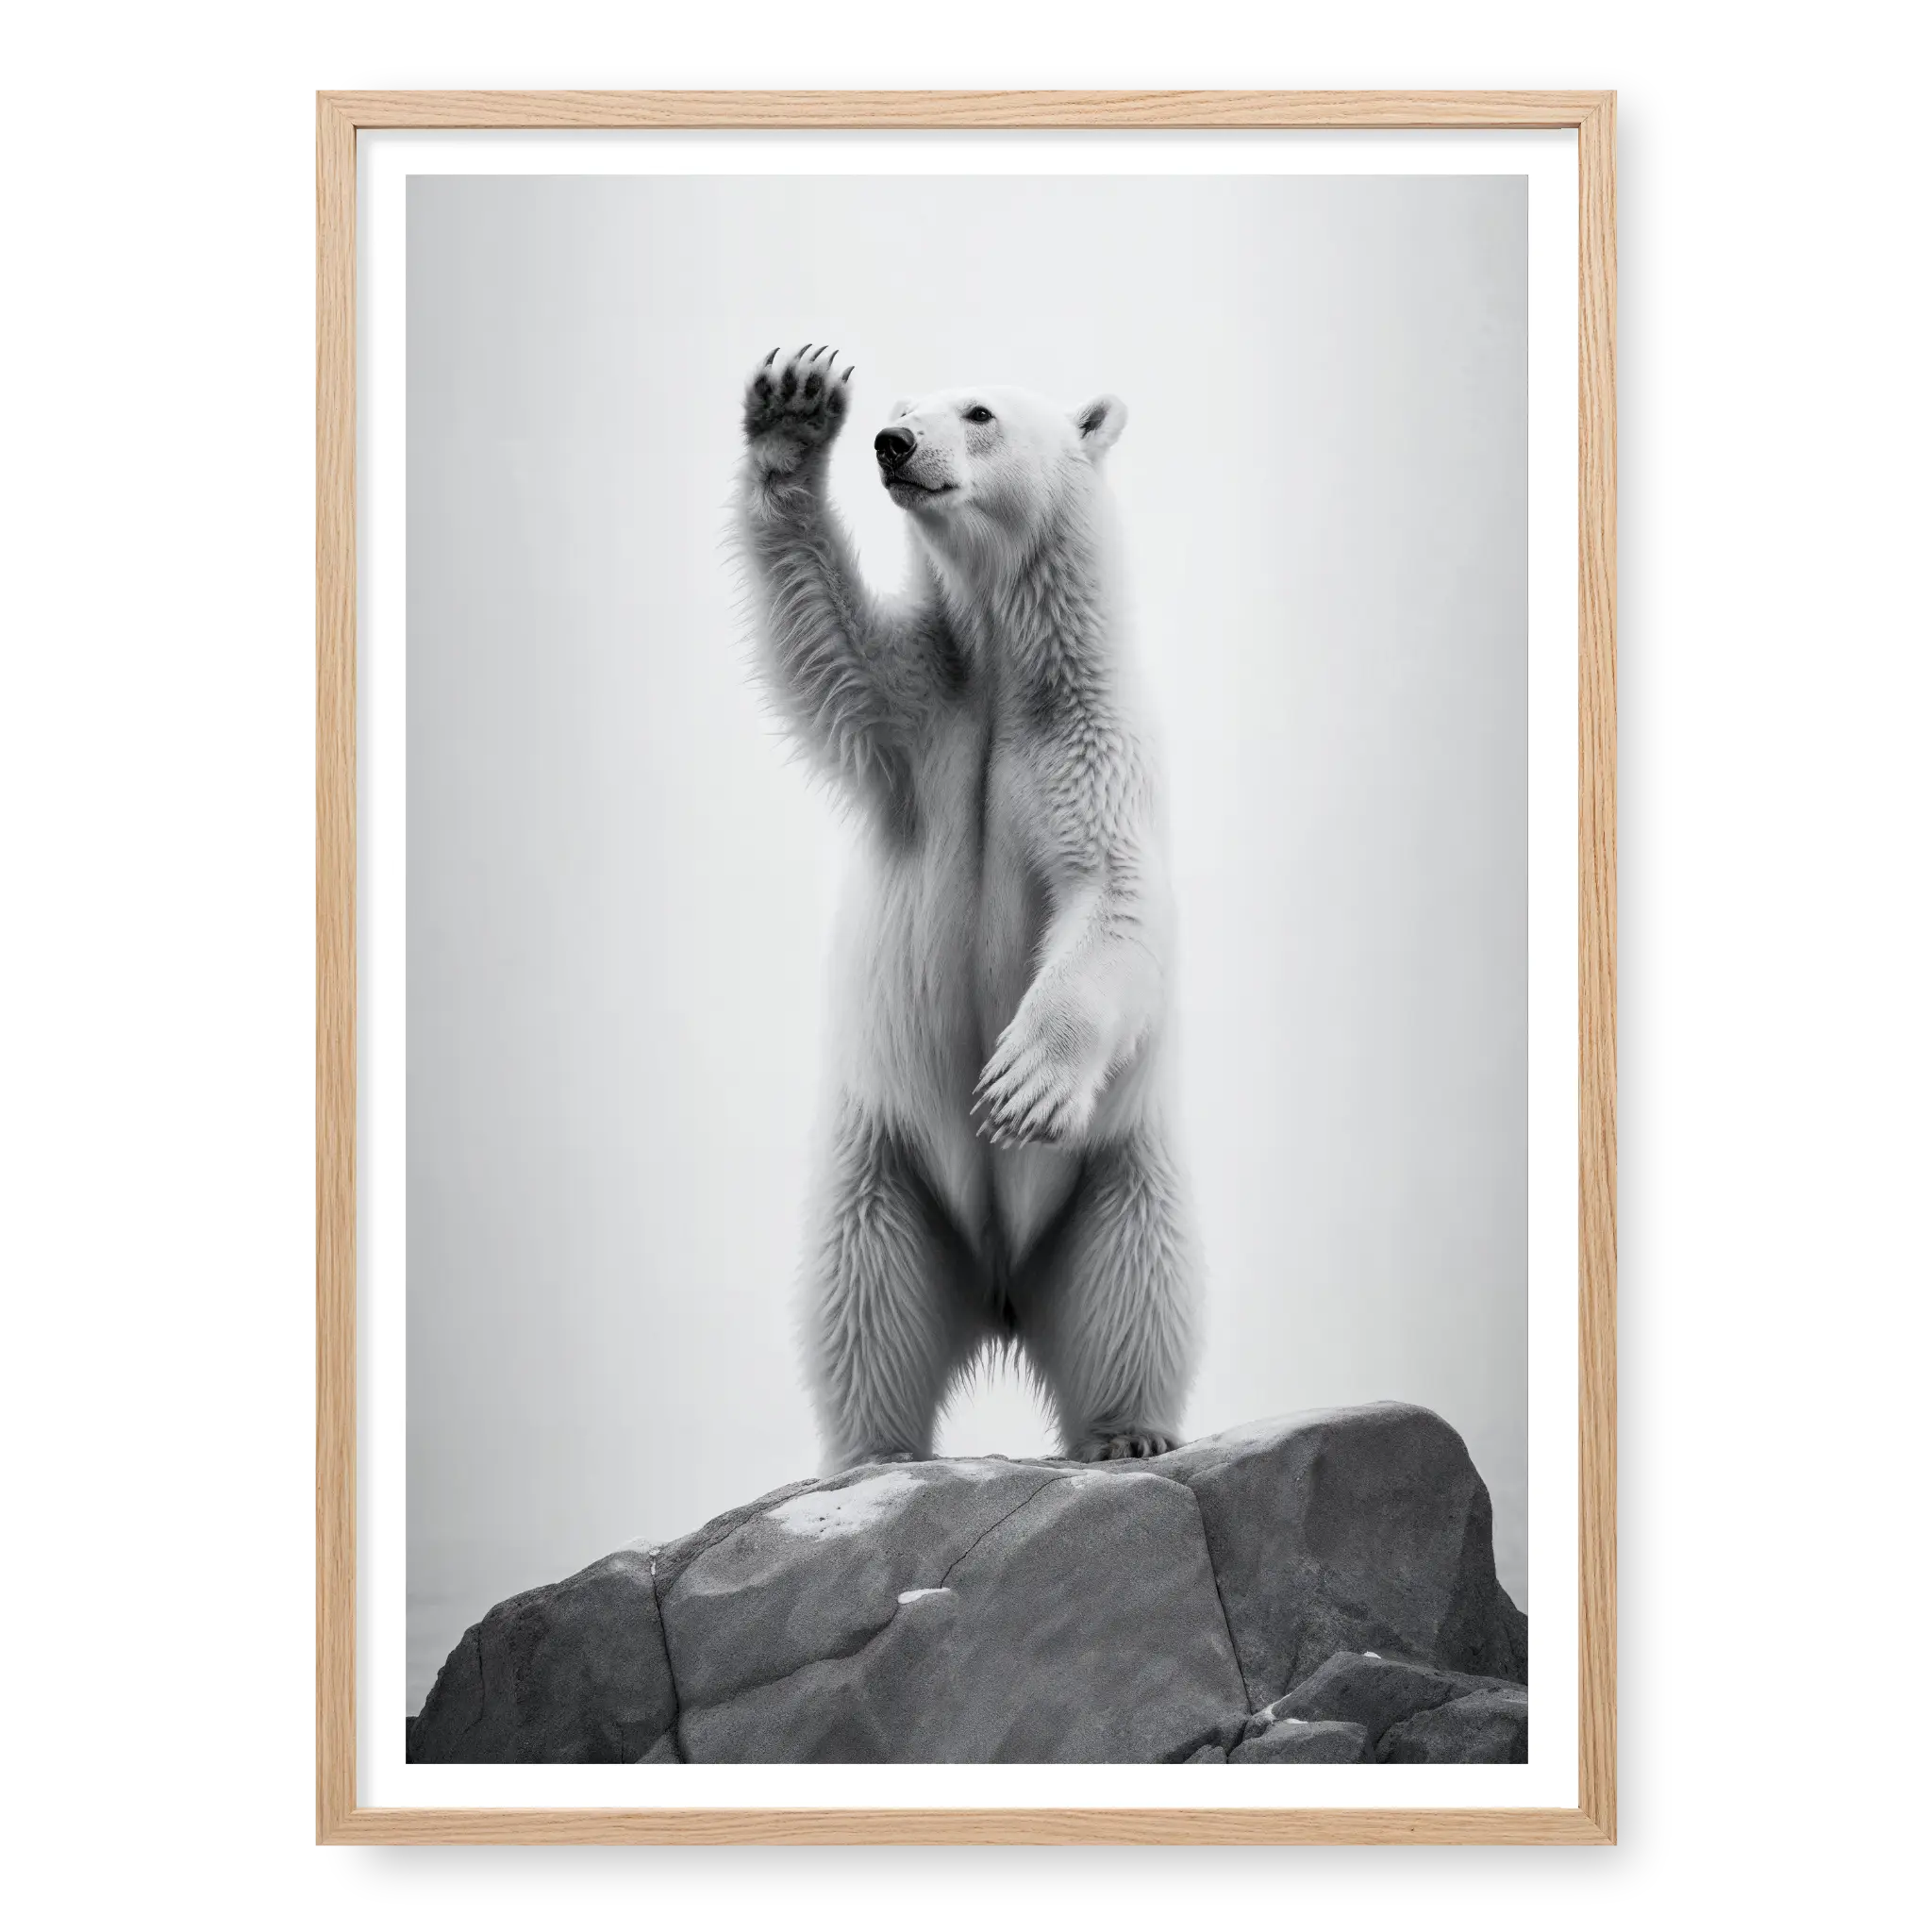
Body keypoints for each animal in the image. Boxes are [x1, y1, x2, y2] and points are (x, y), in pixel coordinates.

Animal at [732, 344, 1201, 1469]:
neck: (1006, 663)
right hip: (885, 1168)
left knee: (1136, 1279)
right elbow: (826, 640)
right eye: (900, 406)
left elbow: (1112, 896)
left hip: (1114, 1172)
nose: (892, 443)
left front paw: (1023, 1081)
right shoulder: (920, 708)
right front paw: (793, 406)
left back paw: (1127, 1432)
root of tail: (998, 1293)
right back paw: (872, 1450)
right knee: (861, 1295)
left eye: (978, 412)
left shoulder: (1092, 740)